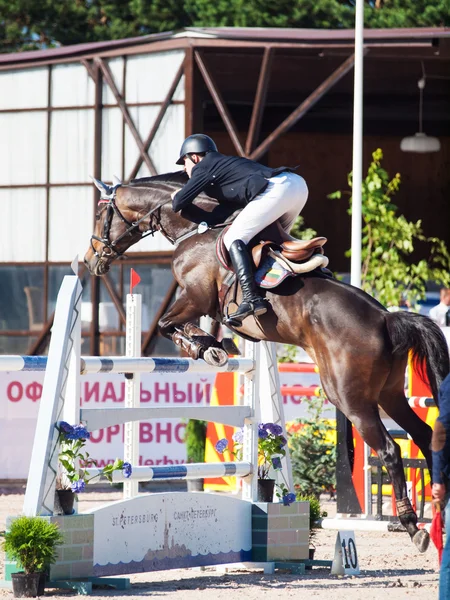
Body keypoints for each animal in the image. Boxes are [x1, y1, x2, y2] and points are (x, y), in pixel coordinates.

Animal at [84, 170, 450, 552]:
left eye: (100, 215)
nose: (90, 261)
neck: (195, 228)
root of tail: (385, 318)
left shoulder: (195, 297)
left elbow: (167, 325)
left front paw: (208, 348)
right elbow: (178, 327)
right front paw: (214, 345)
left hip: (352, 399)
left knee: (391, 450)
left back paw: (413, 526)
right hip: (389, 394)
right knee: (424, 436)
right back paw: (440, 509)